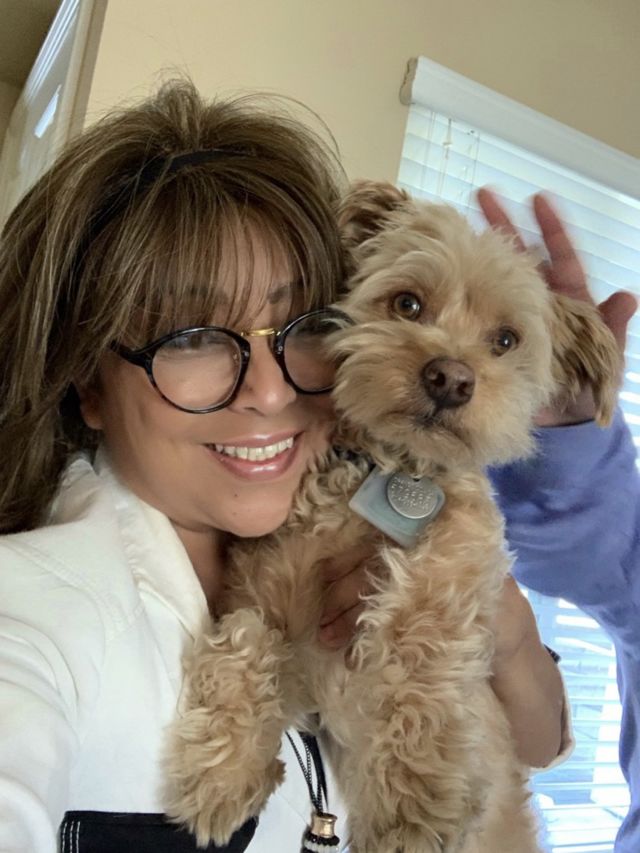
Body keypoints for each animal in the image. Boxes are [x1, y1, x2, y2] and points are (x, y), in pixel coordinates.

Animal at [164, 181, 621, 852]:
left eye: (506, 341)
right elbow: (244, 642)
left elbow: (416, 659)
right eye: (408, 303)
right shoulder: (271, 616)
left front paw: (410, 814)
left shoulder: (457, 571)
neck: (390, 466)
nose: (450, 377)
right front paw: (223, 775)